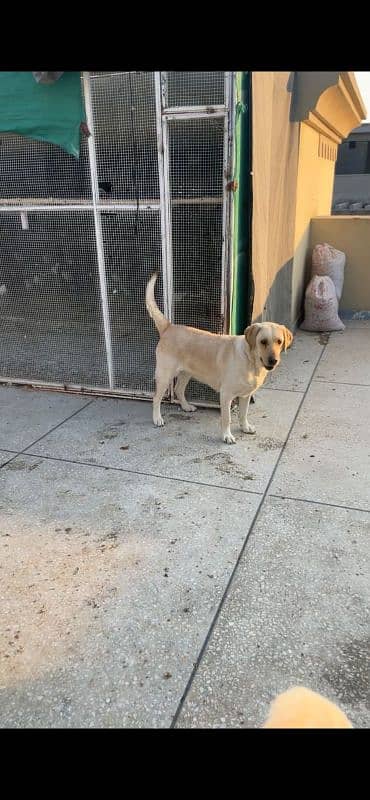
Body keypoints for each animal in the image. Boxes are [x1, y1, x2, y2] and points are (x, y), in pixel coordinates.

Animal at [146, 276, 294, 444]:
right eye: (263, 342)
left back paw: (186, 407)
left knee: (178, 389)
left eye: (279, 341)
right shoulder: (226, 395)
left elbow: (243, 414)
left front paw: (245, 427)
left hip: (186, 373)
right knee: (156, 398)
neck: (250, 361)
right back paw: (157, 419)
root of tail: (169, 327)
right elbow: (227, 418)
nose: (273, 360)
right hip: (165, 375)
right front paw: (227, 436)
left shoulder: (245, 395)